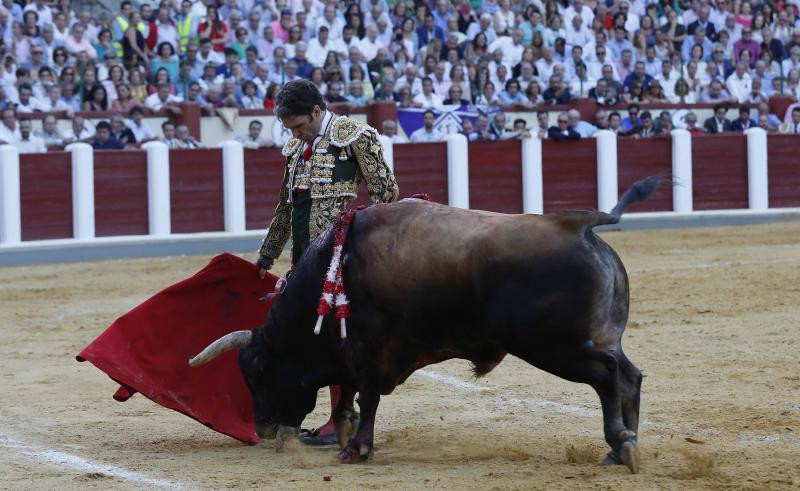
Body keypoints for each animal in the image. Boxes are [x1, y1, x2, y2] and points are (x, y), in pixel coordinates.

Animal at [189, 176, 664, 472]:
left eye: (258, 370)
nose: (264, 428)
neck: (335, 264)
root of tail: (581, 226)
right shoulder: (352, 350)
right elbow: (349, 393)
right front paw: (343, 433)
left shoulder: (369, 347)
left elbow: (366, 395)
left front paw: (356, 449)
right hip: (597, 338)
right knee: (630, 376)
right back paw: (622, 448)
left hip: (552, 345)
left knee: (607, 376)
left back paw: (621, 444)